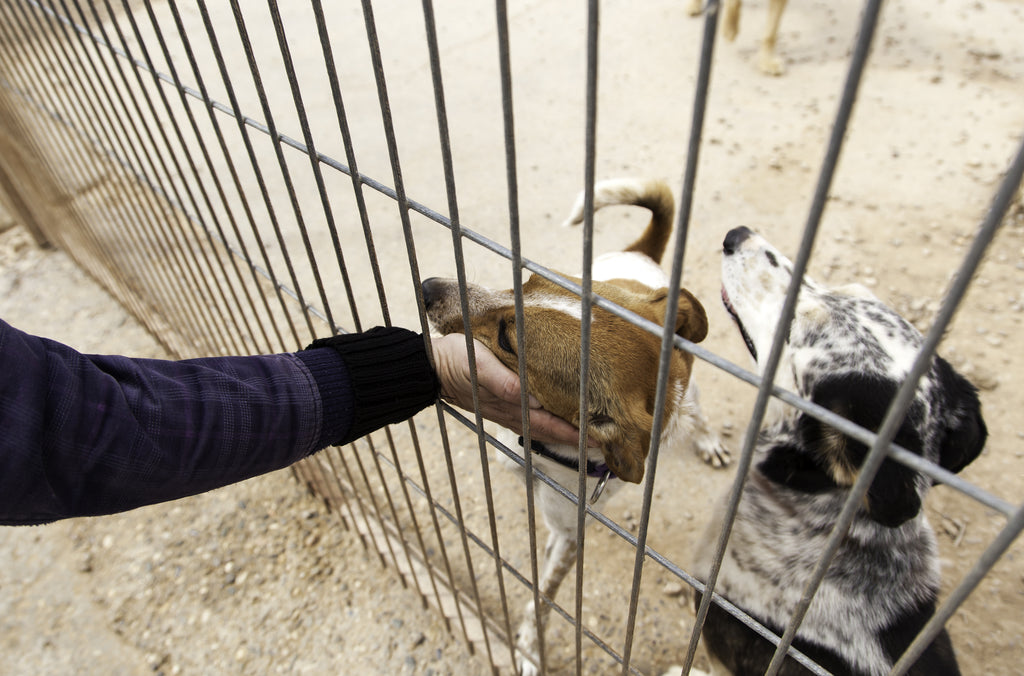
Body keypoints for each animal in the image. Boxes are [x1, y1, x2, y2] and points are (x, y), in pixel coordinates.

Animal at [421, 178, 729, 676]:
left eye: (508, 338)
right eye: (525, 280)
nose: (428, 286)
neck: (537, 447)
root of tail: (642, 257)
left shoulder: (569, 532)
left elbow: (543, 598)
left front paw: (530, 650)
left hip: (691, 393)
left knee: (697, 413)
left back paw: (708, 440)